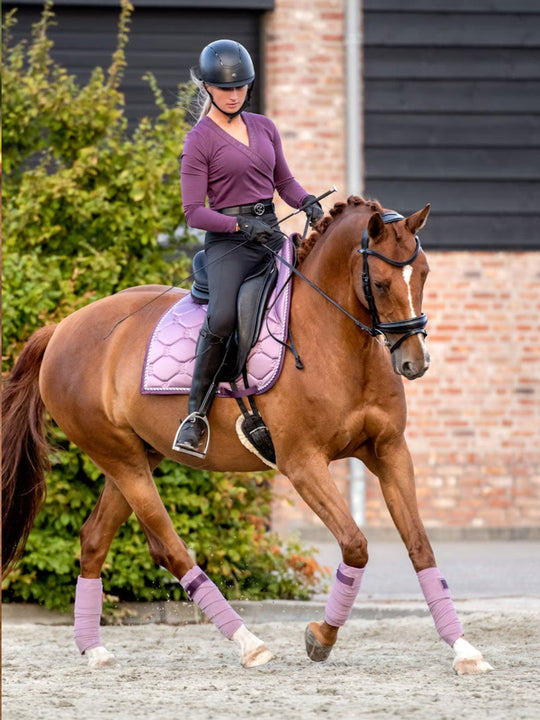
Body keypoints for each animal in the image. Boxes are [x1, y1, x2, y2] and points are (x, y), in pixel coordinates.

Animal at [2, 195, 492, 676]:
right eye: (384, 284)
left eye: (424, 273)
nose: (414, 362)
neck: (337, 342)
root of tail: (62, 328)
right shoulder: (302, 464)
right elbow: (355, 545)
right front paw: (321, 637)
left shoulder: (390, 451)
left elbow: (420, 546)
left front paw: (463, 649)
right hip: (121, 458)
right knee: (170, 549)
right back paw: (249, 644)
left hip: (136, 458)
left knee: (95, 539)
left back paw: (94, 649)